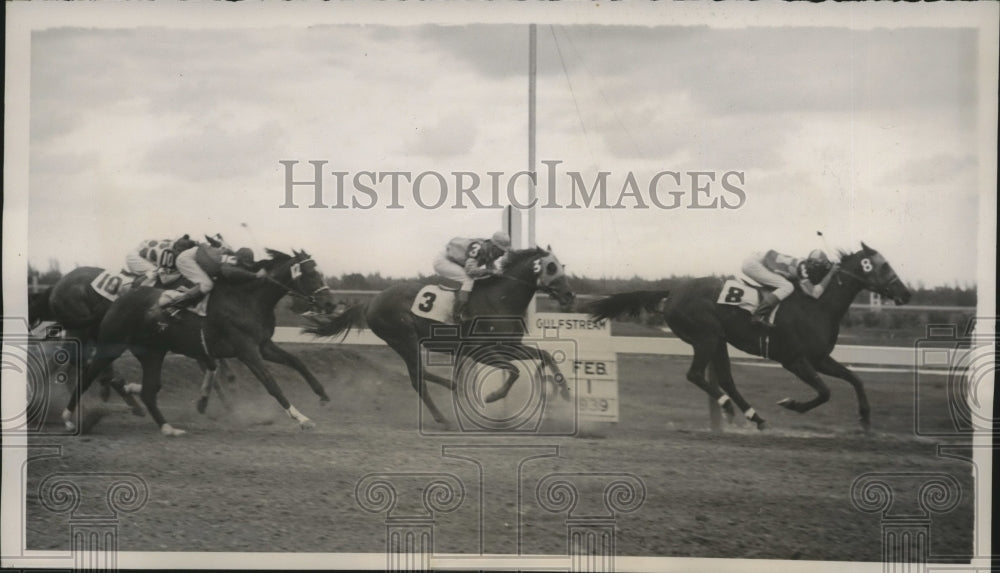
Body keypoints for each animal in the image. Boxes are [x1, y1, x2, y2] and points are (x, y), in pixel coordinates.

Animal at [62, 249, 336, 434]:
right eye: (310, 273)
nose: (330, 304)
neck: (248, 299)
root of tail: (119, 300)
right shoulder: (246, 349)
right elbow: (270, 382)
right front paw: (301, 418)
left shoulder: (263, 345)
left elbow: (297, 362)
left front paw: (322, 395)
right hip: (111, 345)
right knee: (87, 374)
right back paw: (68, 417)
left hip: (152, 352)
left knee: (150, 389)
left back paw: (167, 427)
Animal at [300, 246, 576, 424]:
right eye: (551, 266)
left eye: (562, 265)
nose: (569, 295)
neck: (500, 299)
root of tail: (370, 303)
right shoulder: (479, 351)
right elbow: (515, 371)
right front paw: (492, 395)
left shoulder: (507, 346)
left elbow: (546, 355)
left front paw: (565, 392)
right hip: (404, 339)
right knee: (418, 377)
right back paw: (445, 409)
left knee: (420, 375)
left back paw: (452, 395)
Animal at [588, 241, 912, 428]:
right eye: (884, 265)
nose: (905, 294)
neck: (817, 305)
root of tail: (673, 292)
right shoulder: (794, 359)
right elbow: (825, 392)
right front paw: (791, 404)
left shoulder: (820, 359)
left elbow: (855, 378)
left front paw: (865, 416)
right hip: (706, 336)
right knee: (696, 375)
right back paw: (728, 406)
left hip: (718, 341)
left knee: (726, 380)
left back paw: (753, 414)